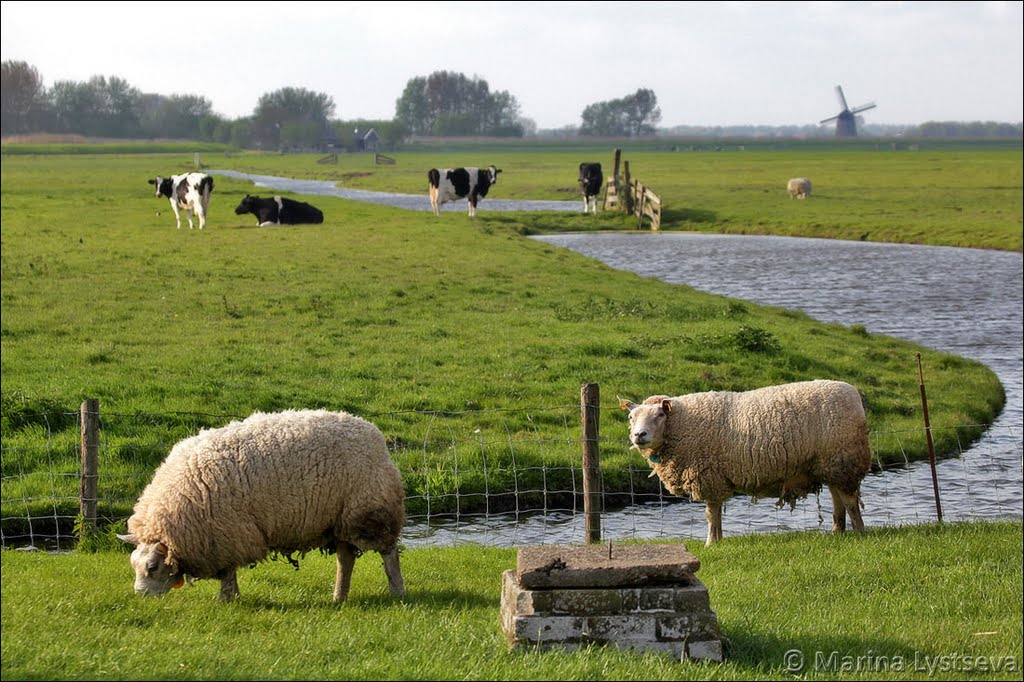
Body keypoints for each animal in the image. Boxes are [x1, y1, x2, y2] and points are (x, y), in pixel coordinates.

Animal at [117, 405, 405, 598]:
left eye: (152, 567)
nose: (140, 595)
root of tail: (374, 434)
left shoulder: (227, 535)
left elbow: (227, 574)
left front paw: (227, 600)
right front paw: (232, 599)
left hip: (369, 511)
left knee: (389, 553)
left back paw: (397, 591)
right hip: (340, 519)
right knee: (346, 559)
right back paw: (339, 597)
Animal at [618, 378, 868, 544]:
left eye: (659, 415)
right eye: (631, 417)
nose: (639, 435)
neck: (681, 424)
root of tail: (853, 394)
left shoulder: (709, 475)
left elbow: (711, 513)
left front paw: (711, 543)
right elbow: (716, 513)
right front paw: (718, 540)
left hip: (843, 457)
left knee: (849, 500)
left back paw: (859, 531)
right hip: (831, 463)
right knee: (837, 498)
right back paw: (837, 531)